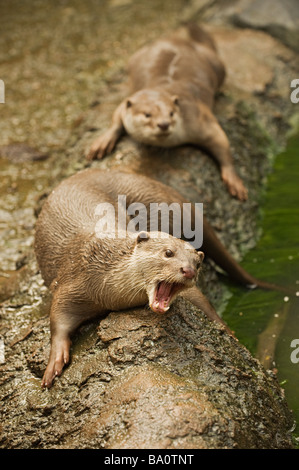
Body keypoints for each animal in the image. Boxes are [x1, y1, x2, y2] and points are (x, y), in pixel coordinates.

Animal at [35, 170, 288, 390]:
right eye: (168, 253)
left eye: (197, 264)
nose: (189, 271)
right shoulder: (74, 279)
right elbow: (58, 316)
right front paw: (54, 361)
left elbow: (203, 303)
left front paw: (229, 333)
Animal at [87, 23, 248, 200]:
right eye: (147, 114)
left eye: (171, 113)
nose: (164, 124)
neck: (164, 88)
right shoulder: (126, 103)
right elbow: (116, 119)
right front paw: (102, 142)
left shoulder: (198, 118)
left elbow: (221, 141)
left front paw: (233, 179)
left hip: (217, 65)